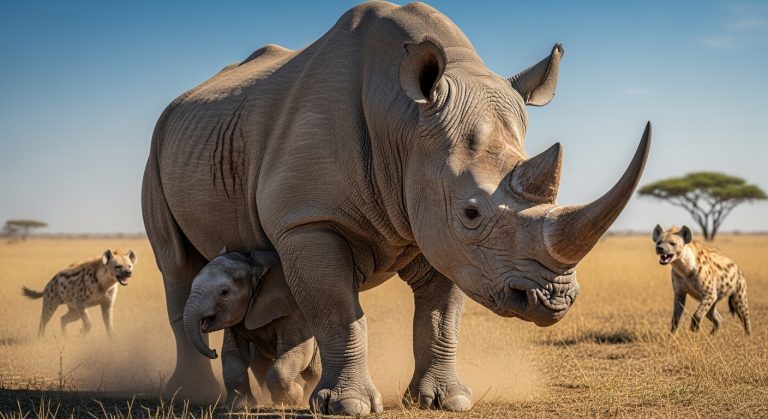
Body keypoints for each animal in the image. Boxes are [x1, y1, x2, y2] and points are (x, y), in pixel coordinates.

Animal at [183, 249, 320, 407]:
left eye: (224, 292)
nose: (213, 352)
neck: (254, 266)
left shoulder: (295, 313)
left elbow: (296, 352)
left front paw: (294, 397)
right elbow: (233, 354)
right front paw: (241, 405)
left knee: (313, 371)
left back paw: (305, 396)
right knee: (259, 363)